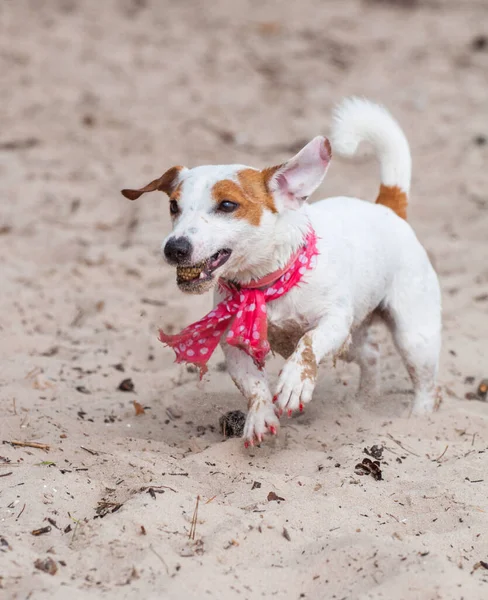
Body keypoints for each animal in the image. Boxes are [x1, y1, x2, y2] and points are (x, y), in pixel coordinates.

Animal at [122, 97, 442, 446]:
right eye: (173, 206)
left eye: (227, 205)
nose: (174, 248)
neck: (264, 286)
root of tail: (386, 206)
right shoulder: (235, 345)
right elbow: (254, 386)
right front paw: (260, 417)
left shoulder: (333, 321)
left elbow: (308, 343)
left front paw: (293, 383)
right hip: (353, 339)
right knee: (371, 354)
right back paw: (362, 404)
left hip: (414, 336)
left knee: (427, 384)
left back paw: (417, 420)